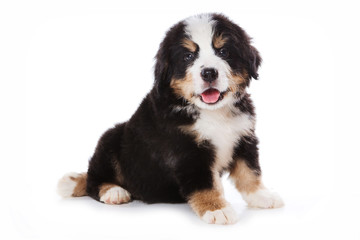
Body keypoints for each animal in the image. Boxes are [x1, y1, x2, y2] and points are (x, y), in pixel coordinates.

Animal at [58, 13, 284, 225]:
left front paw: (262, 196)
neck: (212, 113)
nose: (209, 72)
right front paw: (216, 209)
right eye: (188, 56)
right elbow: (205, 184)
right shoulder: (187, 152)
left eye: (223, 52)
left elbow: (250, 172)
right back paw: (113, 191)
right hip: (111, 139)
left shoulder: (243, 136)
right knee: (93, 180)